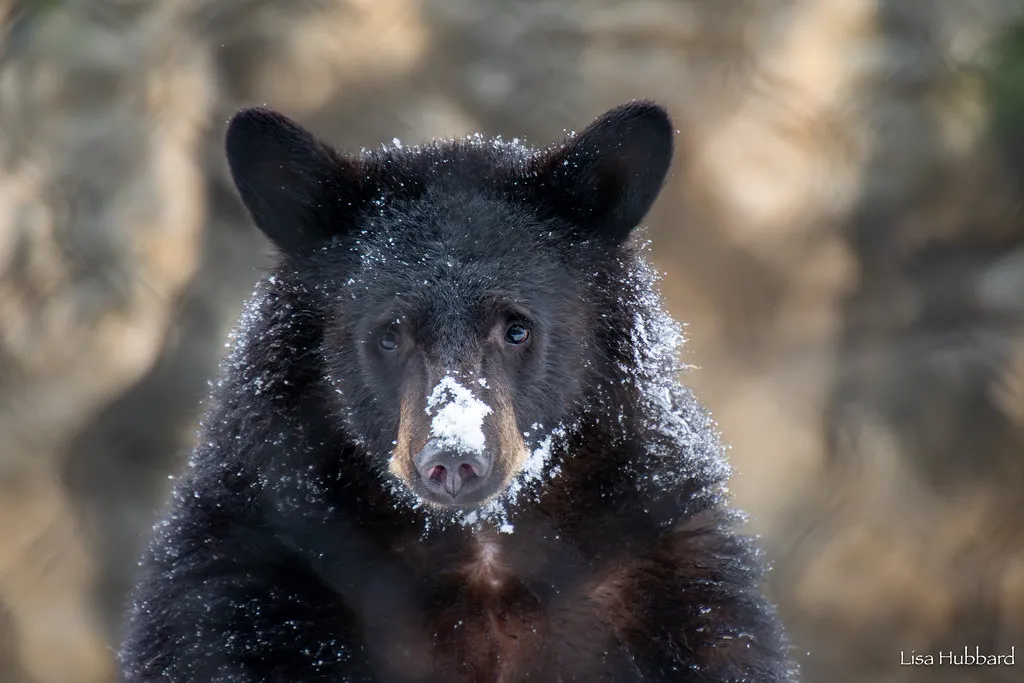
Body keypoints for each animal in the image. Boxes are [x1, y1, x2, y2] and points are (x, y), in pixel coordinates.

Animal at [118, 101, 796, 683]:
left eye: (517, 327)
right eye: (389, 333)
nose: (454, 459)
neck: (479, 555)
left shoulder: (674, 602)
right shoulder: (247, 606)